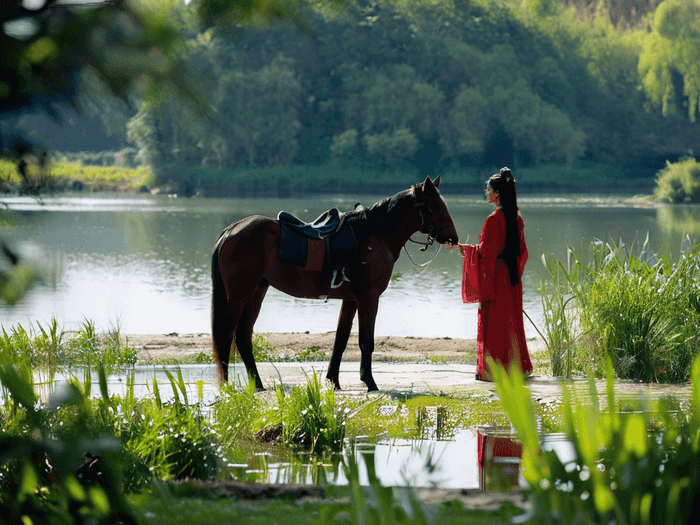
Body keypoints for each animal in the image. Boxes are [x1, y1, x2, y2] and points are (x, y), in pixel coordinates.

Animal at [209, 174, 460, 390]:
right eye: (435, 206)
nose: (453, 238)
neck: (374, 233)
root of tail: (230, 231)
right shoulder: (369, 297)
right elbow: (366, 341)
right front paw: (369, 381)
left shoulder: (351, 300)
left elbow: (341, 339)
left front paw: (333, 381)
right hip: (239, 295)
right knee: (226, 336)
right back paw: (228, 386)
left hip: (256, 291)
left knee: (243, 336)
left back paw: (258, 384)